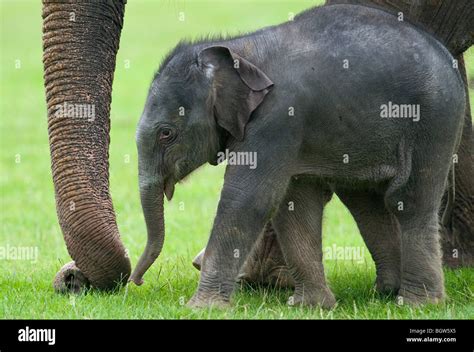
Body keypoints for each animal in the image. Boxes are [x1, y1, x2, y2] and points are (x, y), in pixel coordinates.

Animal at [130, 4, 462, 308]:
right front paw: (311, 306)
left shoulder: (277, 117)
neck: (241, 48)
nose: (137, 281)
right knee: (365, 201)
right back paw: (386, 293)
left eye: (166, 134)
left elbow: (250, 198)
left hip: (433, 121)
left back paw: (419, 303)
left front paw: (201, 308)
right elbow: (294, 202)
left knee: (408, 199)